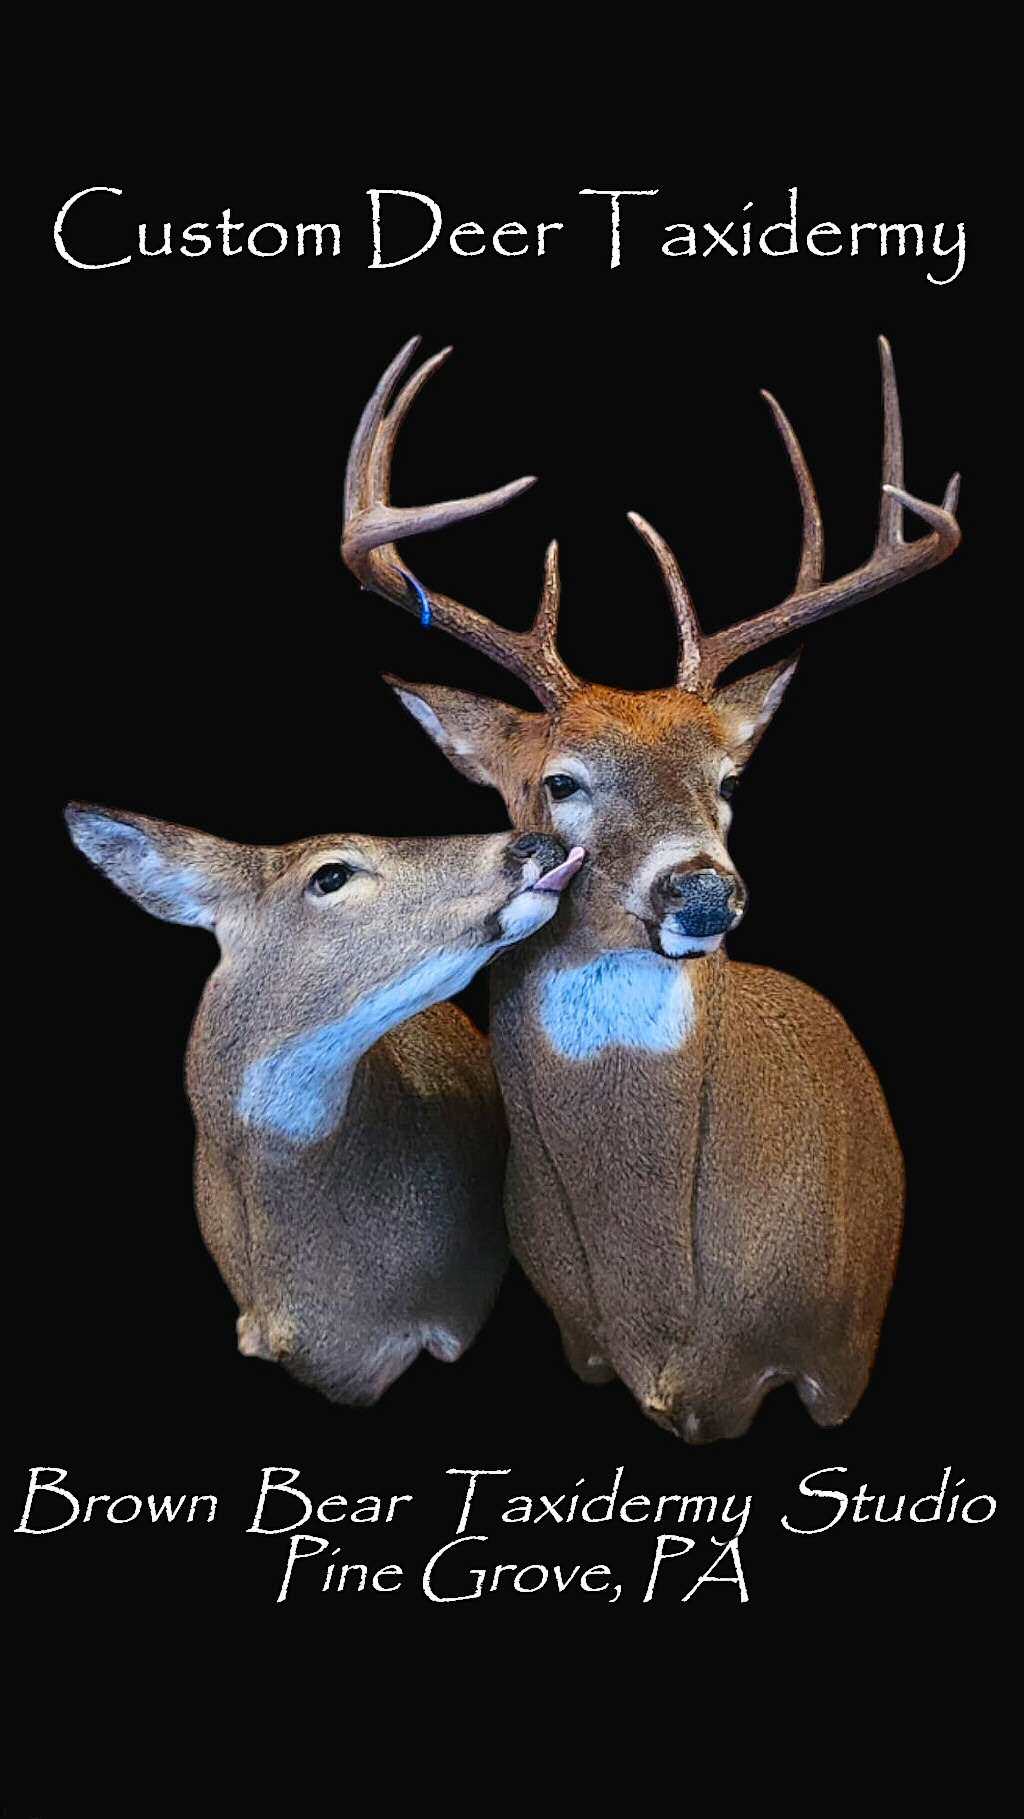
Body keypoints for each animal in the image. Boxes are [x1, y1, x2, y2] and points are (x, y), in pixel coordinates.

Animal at [341, 334, 961, 1441]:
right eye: (561, 781)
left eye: (728, 779)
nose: (703, 892)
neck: (668, 1307)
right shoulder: (582, 1344)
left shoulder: (839, 1354)